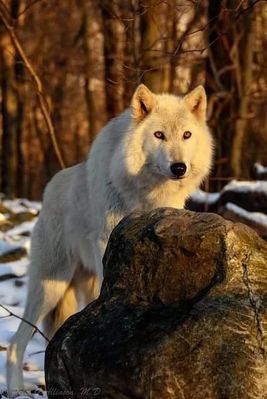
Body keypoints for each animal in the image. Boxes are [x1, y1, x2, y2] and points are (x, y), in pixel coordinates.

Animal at [6, 83, 215, 396]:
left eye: (187, 135)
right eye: (159, 135)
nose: (179, 168)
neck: (146, 193)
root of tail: (48, 191)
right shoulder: (108, 240)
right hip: (50, 287)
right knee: (16, 342)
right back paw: (16, 389)